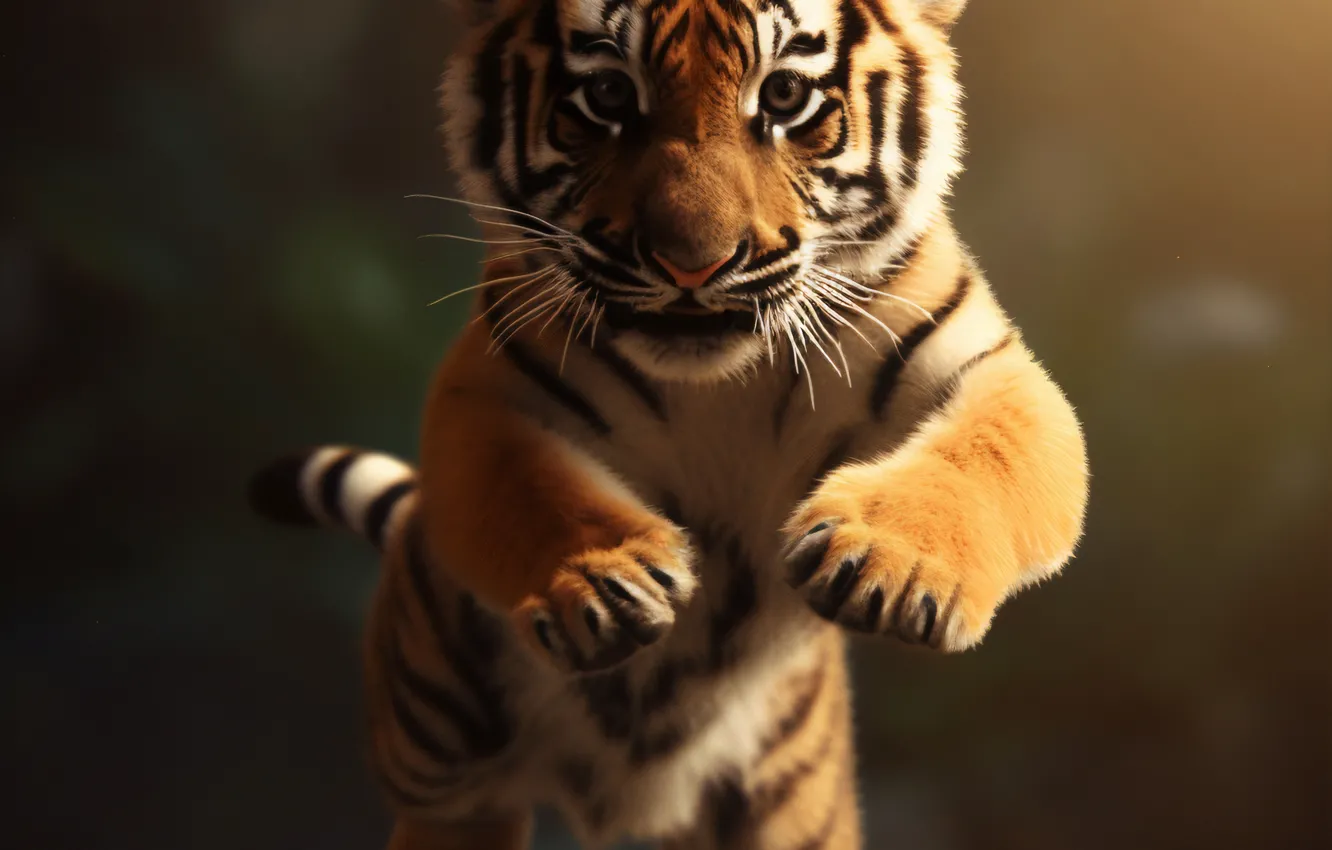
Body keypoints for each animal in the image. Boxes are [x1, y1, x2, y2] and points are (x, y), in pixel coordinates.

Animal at [248, 0, 1090, 848]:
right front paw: (603, 579)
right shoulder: (482, 391)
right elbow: (525, 486)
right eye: (609, 95)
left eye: (784, 95)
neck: (720, 384)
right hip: (448, 776)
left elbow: (984, 455)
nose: (693, 265)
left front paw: (890, 563)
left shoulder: (994, 372)